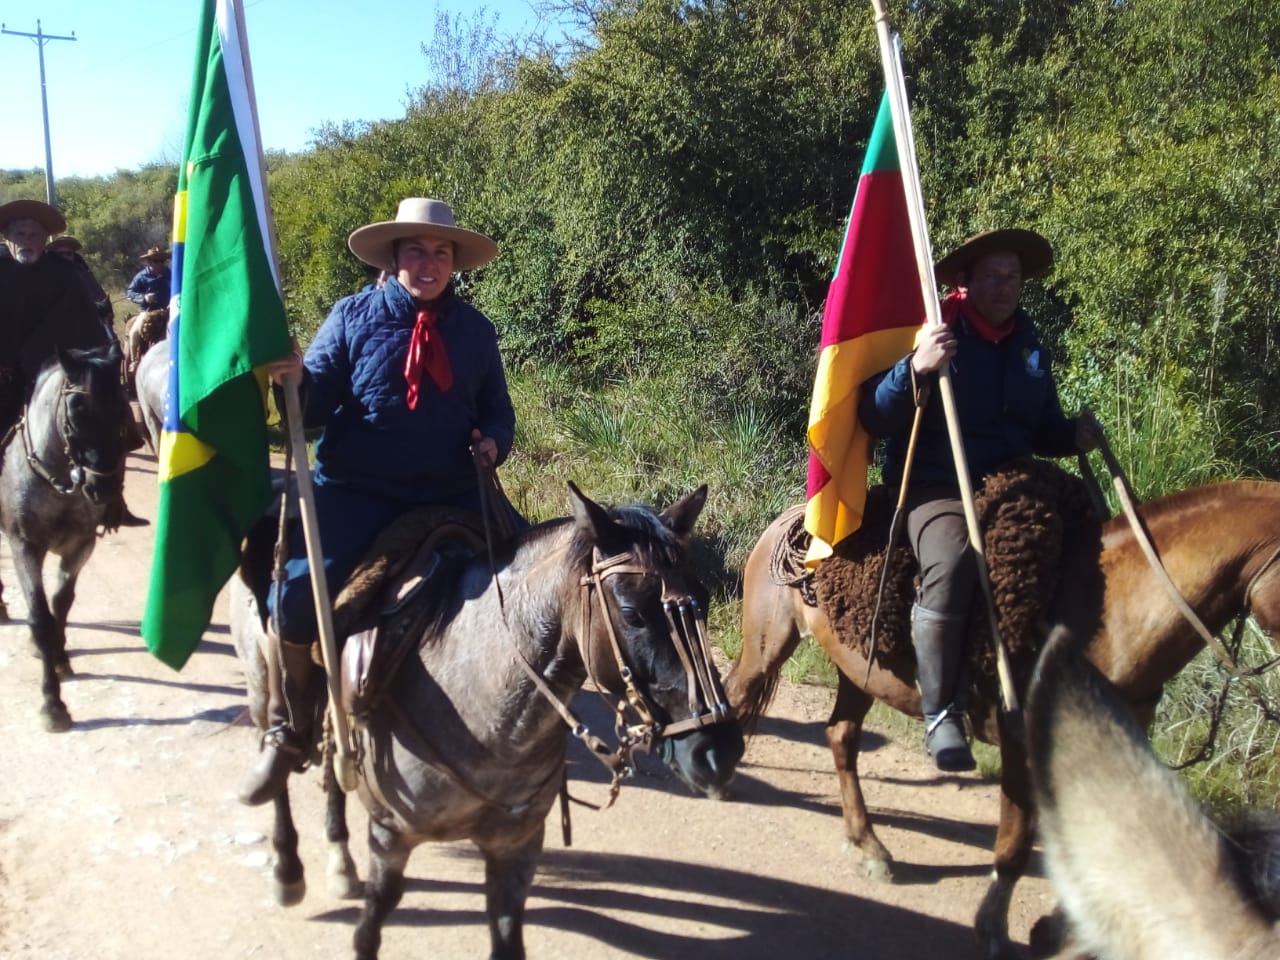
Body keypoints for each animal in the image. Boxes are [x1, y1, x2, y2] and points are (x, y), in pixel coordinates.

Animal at [0, 343, 132, 727]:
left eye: (122, 410)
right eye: (77, 412)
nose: (102, 487)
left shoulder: (79, 547)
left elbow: (60, 604)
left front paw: (59, 659)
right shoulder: (24, 547)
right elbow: (40, 616)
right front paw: (52, 704)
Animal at [235, 483, 747, 957]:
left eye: (702, 600)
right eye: (632, 613)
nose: (718, 752)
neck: (484, 720)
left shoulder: (515, 850)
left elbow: (506, 939)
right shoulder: (390, 837)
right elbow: (369, 931)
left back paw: (340, 861)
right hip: (264, 682)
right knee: (281, 758)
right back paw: (286, 864)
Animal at [727, 481, 1280, 960]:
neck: (1111, 614)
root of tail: (792, 521)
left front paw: (1054, 928)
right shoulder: (1021, 748)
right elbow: (1014, 846)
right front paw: (994, 929)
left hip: (857, 672)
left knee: (841, 737)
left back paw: (870, 848)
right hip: (769, 642)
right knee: (736, 697)